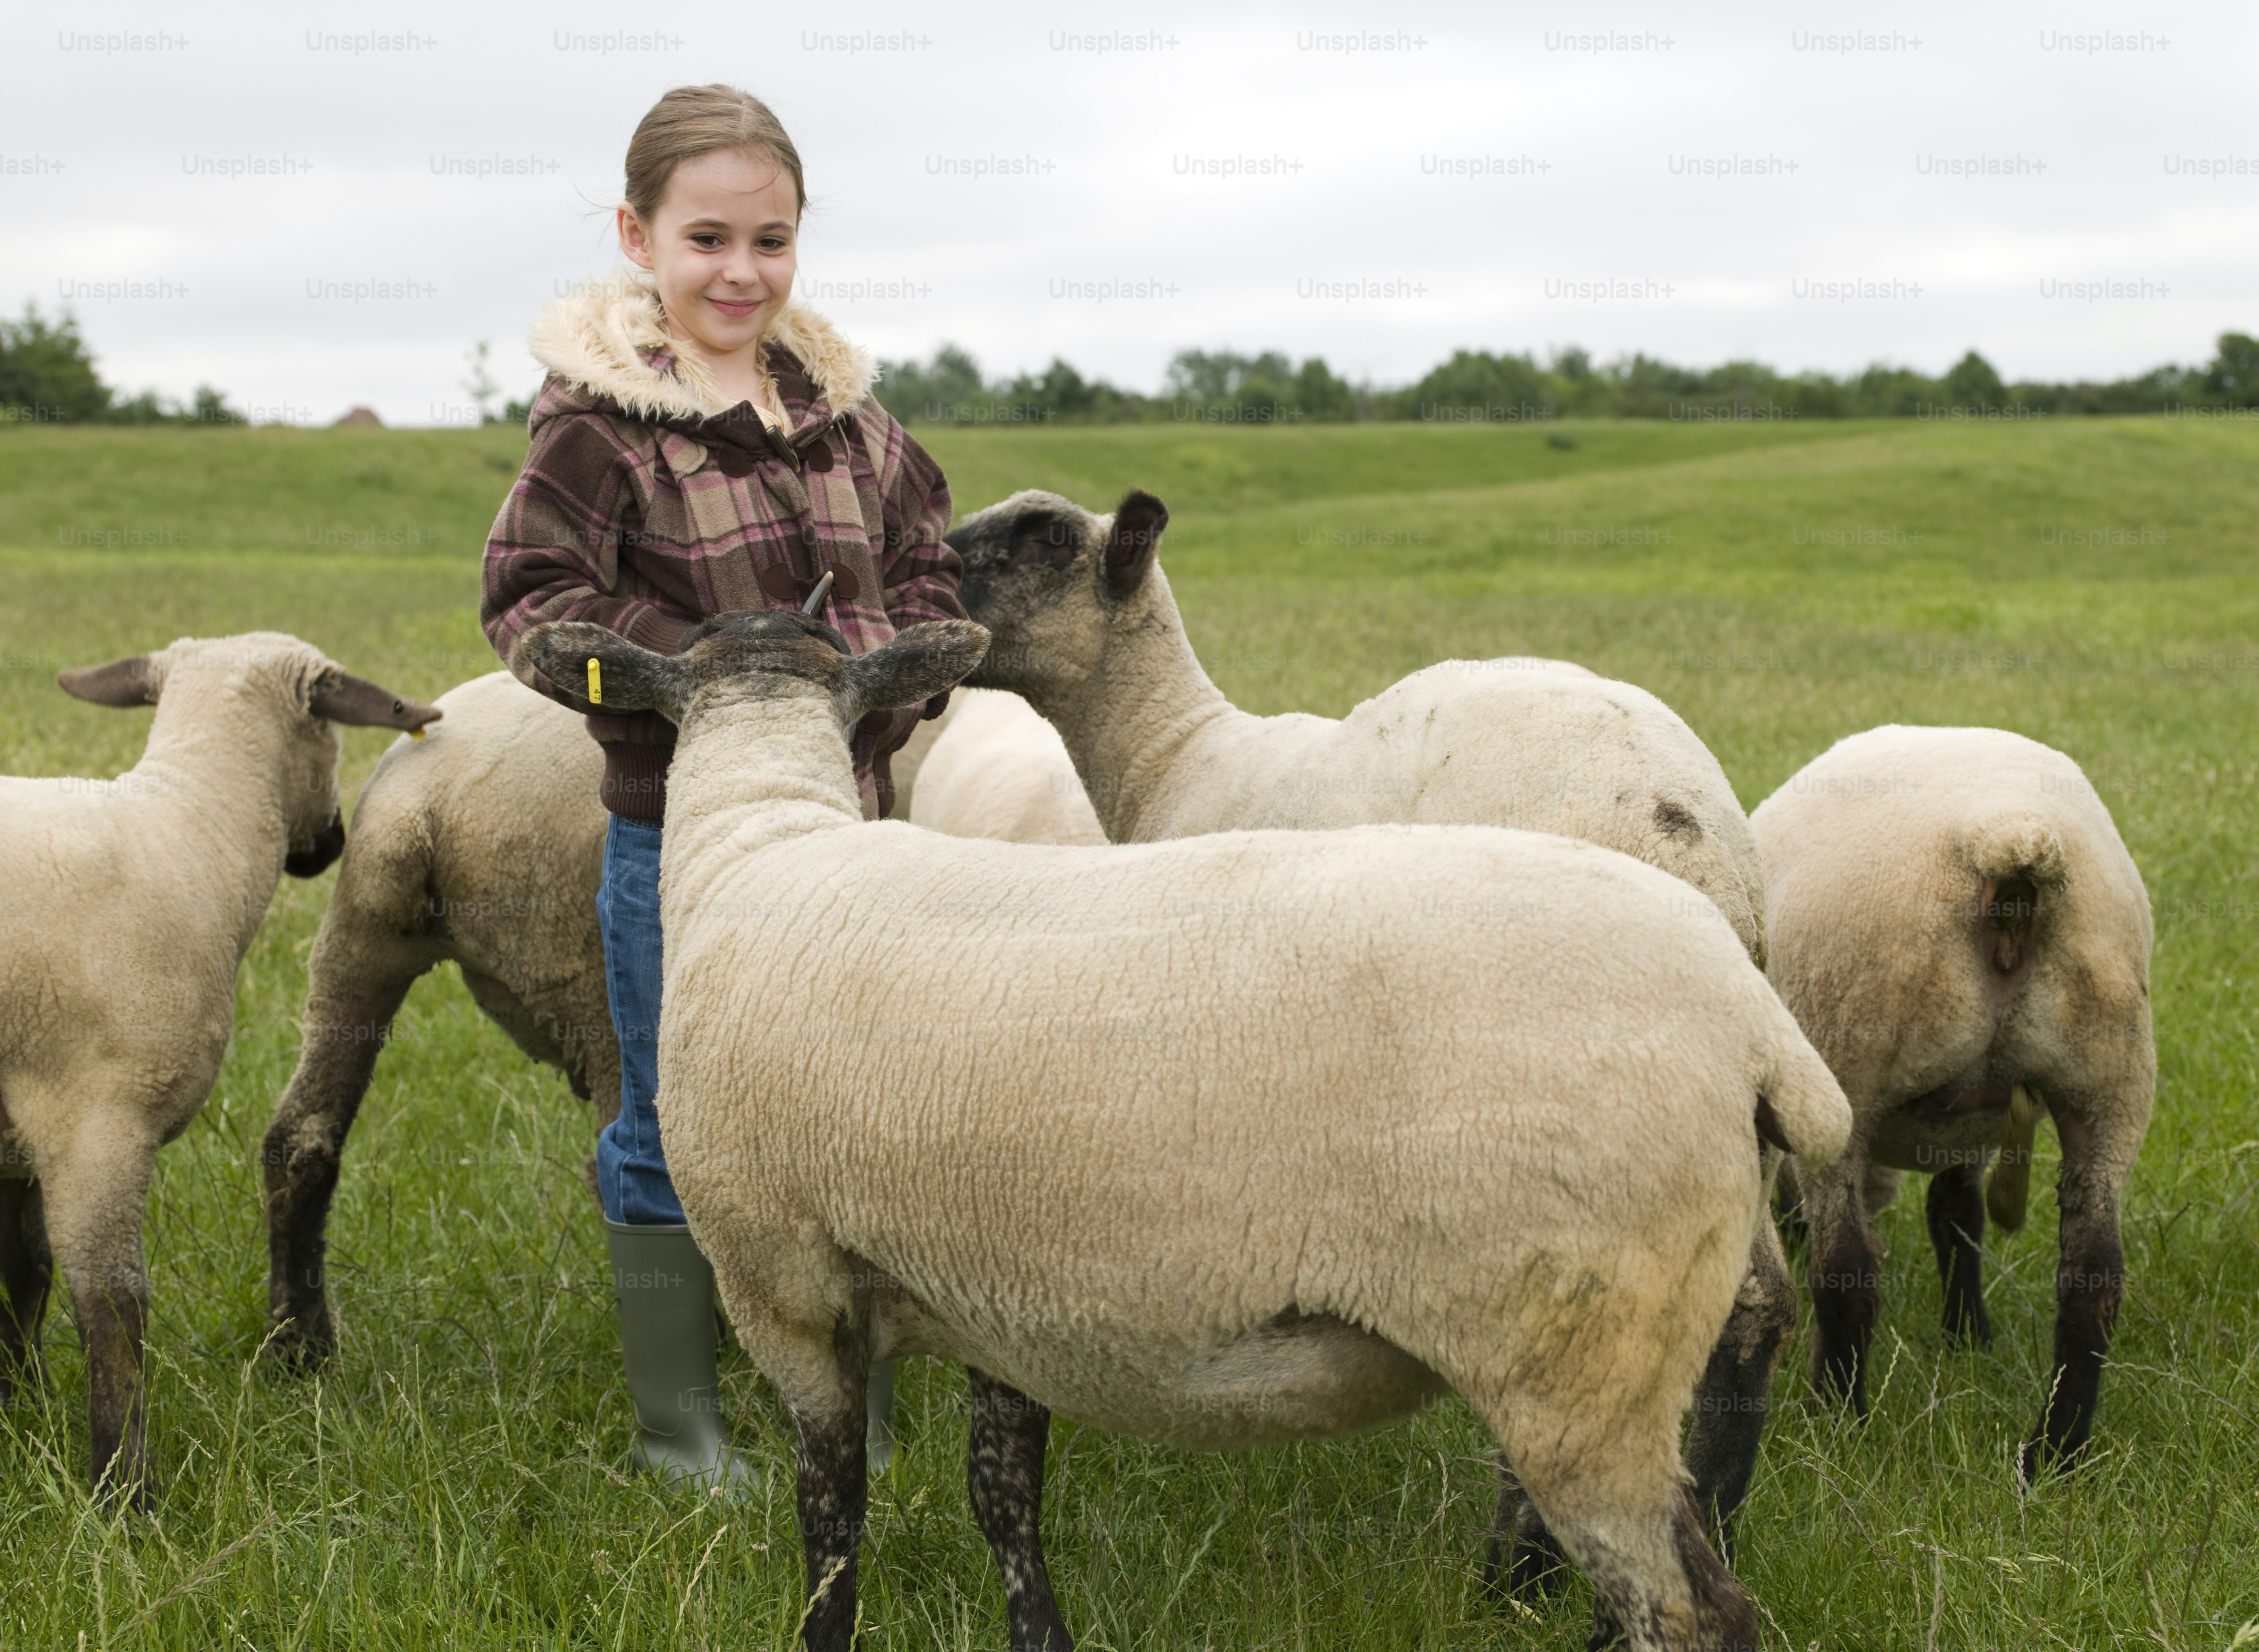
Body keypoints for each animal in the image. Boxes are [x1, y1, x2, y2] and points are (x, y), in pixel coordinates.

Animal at [0, 634, 439, 1500]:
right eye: (329, 730)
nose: (333, 841)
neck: (195, 827)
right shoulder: (97, 1117)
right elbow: (113, 1304)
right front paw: (122, 1494)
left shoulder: (20, 1129)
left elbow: (22, 1271)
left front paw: (18, 1405)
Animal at [514, 609, 1854, 1652]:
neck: (758, 842)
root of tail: (1753, 1018)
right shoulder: (991, 1292)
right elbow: (1004, 1500)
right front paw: (1038, 1637)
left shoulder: (785, 1286)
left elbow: (830, 1519)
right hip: (1616, 1337)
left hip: (1582, 1356)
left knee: (1690, 1612)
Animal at [943, 487, 1796, 1562]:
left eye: (1040, 540)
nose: (925, 565)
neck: (1168, 753)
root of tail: (1684, 837)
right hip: (1717, 1107)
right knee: (1757, 1306)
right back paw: (1714, 1514)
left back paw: (1515, 1567)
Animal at [1750, 724, 2155, 1479]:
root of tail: (2007, 839)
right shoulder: (1973, 1119)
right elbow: (1958, 1215)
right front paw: (1968, 1335)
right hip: (2110, 1076)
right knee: (2094, 1278)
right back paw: (2055, 1452)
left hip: (1849, 1047)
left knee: (1847, 1273)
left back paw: (1837, 1419)